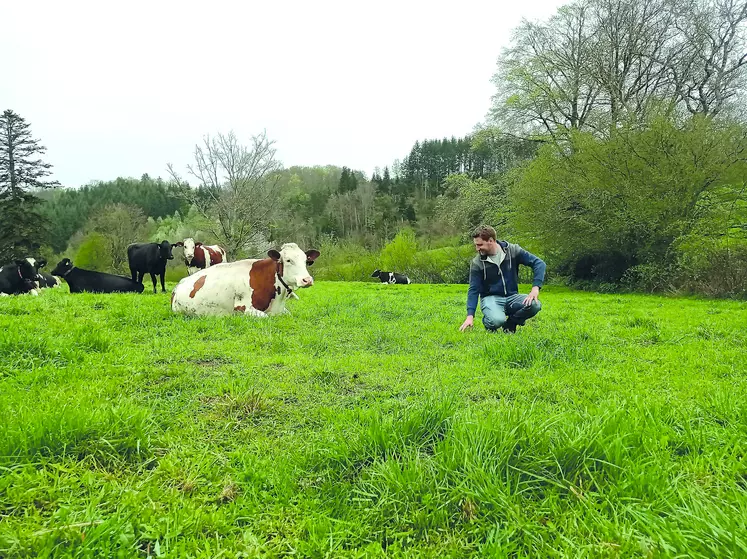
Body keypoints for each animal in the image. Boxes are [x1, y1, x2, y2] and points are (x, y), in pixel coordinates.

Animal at [173, 243, 322, 318]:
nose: (307, 280)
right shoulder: (242, 308)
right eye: (288, 260)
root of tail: (180, 283)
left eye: (306, 261)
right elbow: (265, 317)